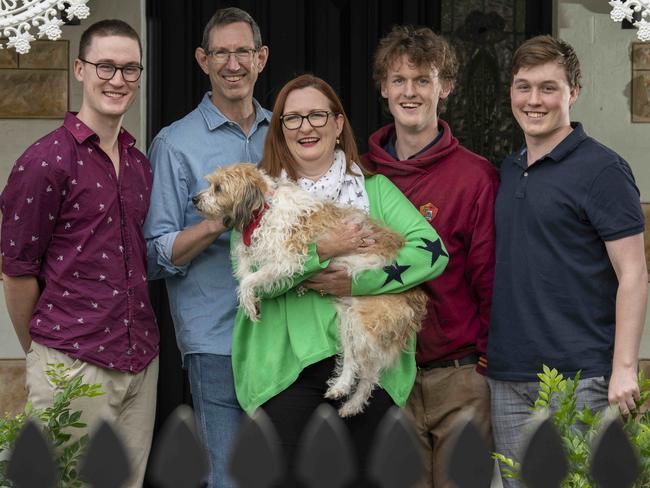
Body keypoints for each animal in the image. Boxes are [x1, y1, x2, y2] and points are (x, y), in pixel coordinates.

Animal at [194, 163, 426, 416]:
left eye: (218, 188)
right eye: (211, 185)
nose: (195, 199)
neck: (263, 208)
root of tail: (415, 297)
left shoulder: (286, 261)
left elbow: (248, 280)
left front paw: (247, 301)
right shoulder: (255, 250)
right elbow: (245, 271)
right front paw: (251, 302)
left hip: (365, 324)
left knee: (369, 374)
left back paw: (353, 403)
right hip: (348, 319)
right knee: (351, 360)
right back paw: (341, 388)